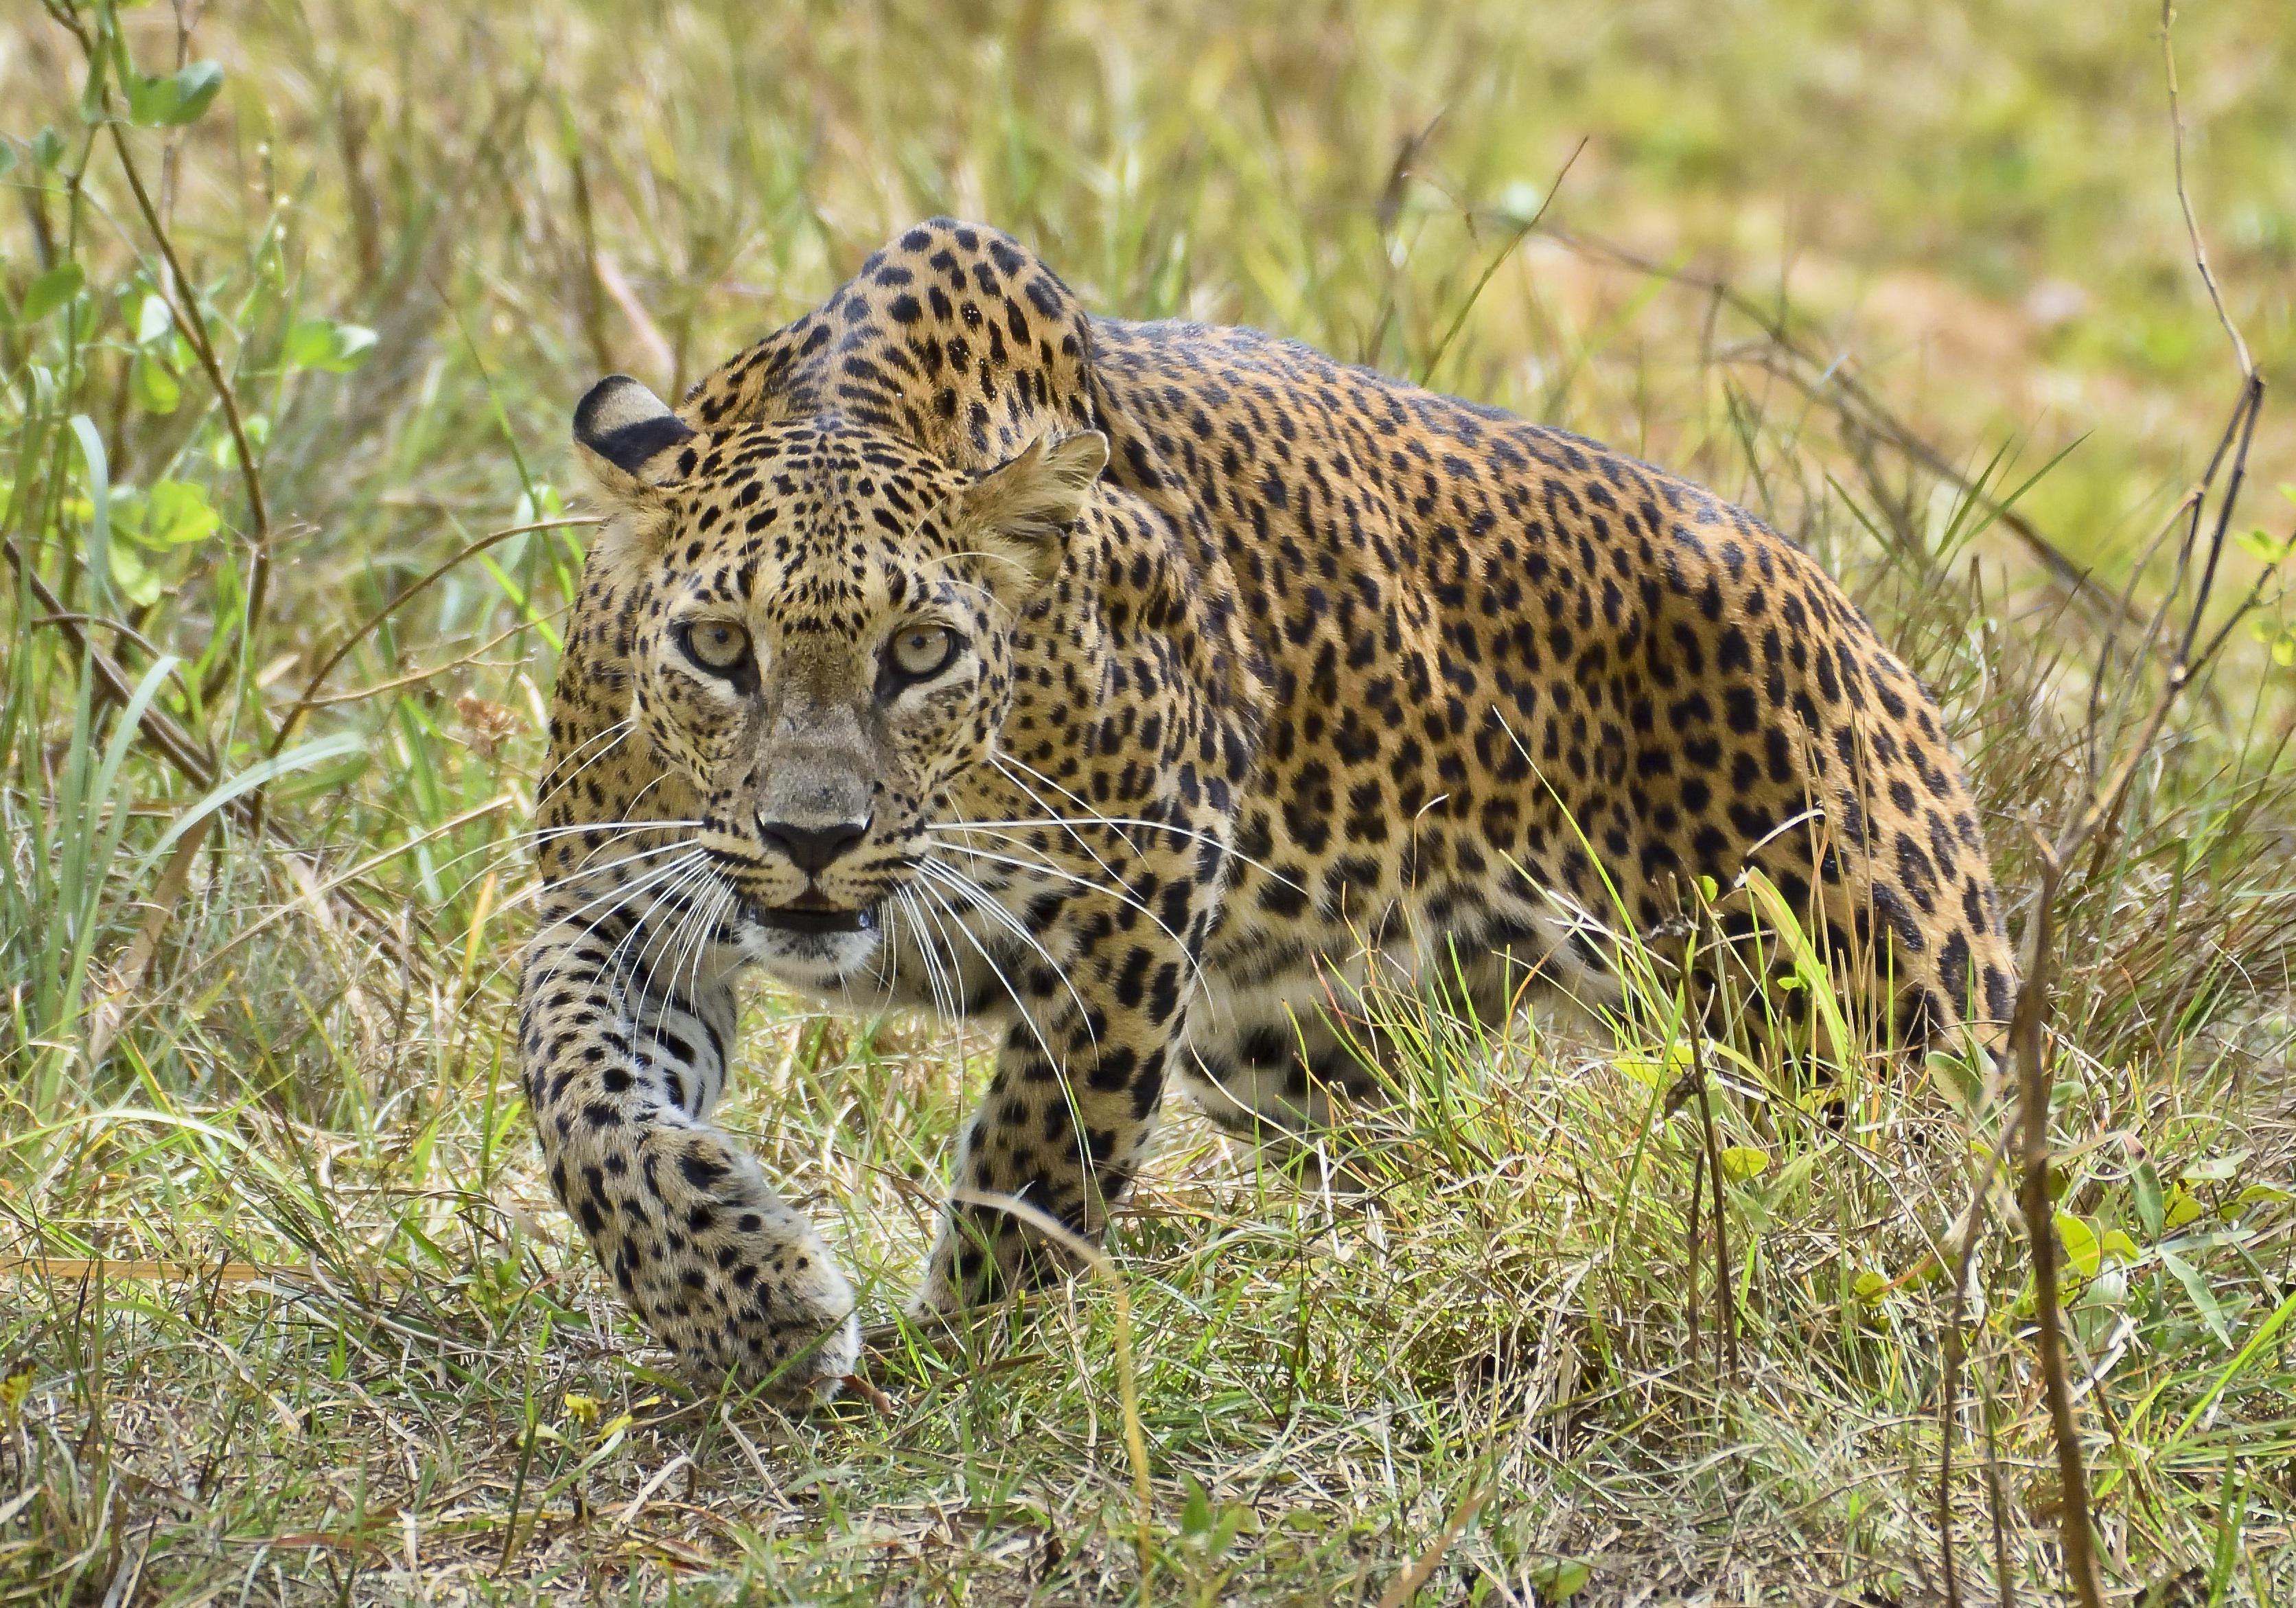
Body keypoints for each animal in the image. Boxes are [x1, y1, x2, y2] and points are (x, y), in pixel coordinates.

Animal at [516, 219, 2011, 1397]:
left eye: (921, 653)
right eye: (719, 648)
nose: (813, 841)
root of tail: (1852, 618)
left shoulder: (1134, 899)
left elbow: (1040, 1156)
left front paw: (945, 1359)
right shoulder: (611, 903)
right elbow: (584, 1101)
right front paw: (749, 1306)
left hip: (1868, 1016)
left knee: (1940, 1185)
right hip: (1297, 1046)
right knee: (1422, 1152)